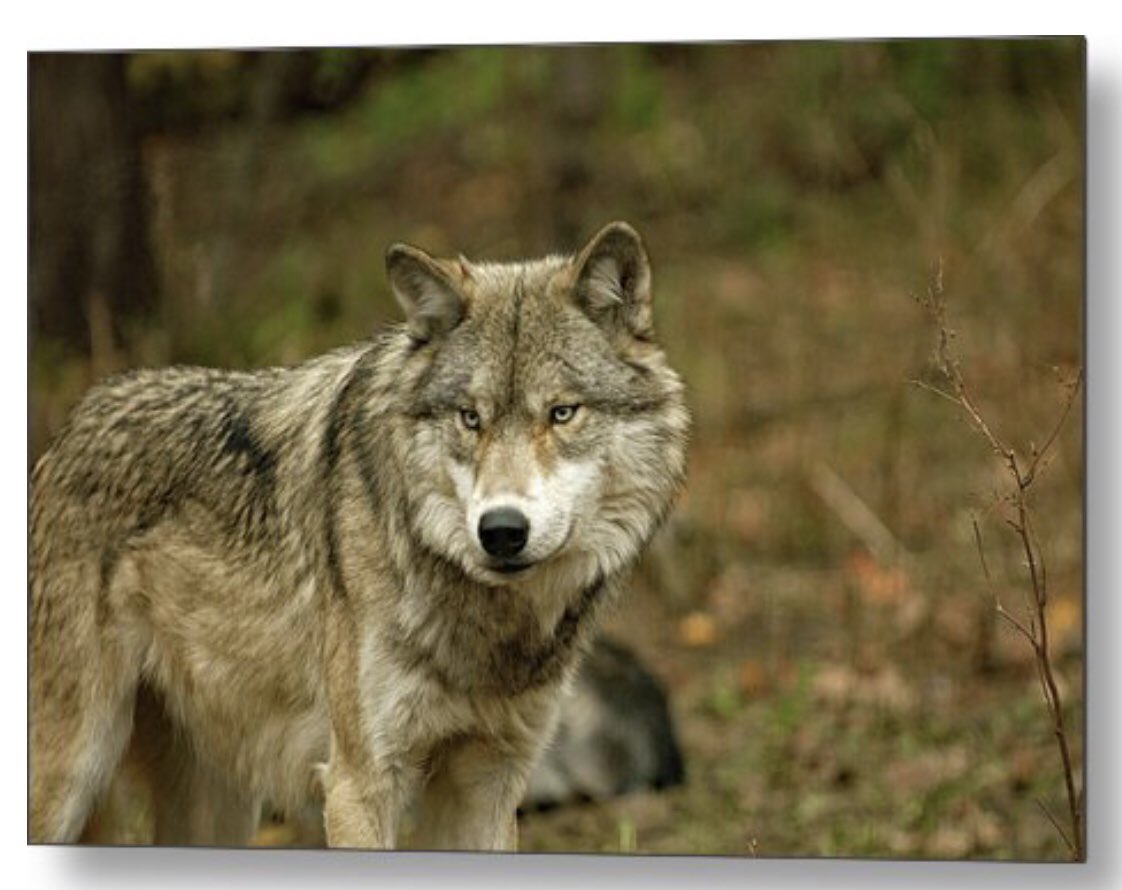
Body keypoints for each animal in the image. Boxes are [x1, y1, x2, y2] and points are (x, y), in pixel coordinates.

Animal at [29, 221, 690, 851]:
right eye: (469, 419)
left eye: (561, 413)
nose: (501, 531)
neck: (486, 628)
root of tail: (70, 427)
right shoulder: (360, 780)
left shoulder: (490, 781)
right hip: (72, 775)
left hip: (219, 807)